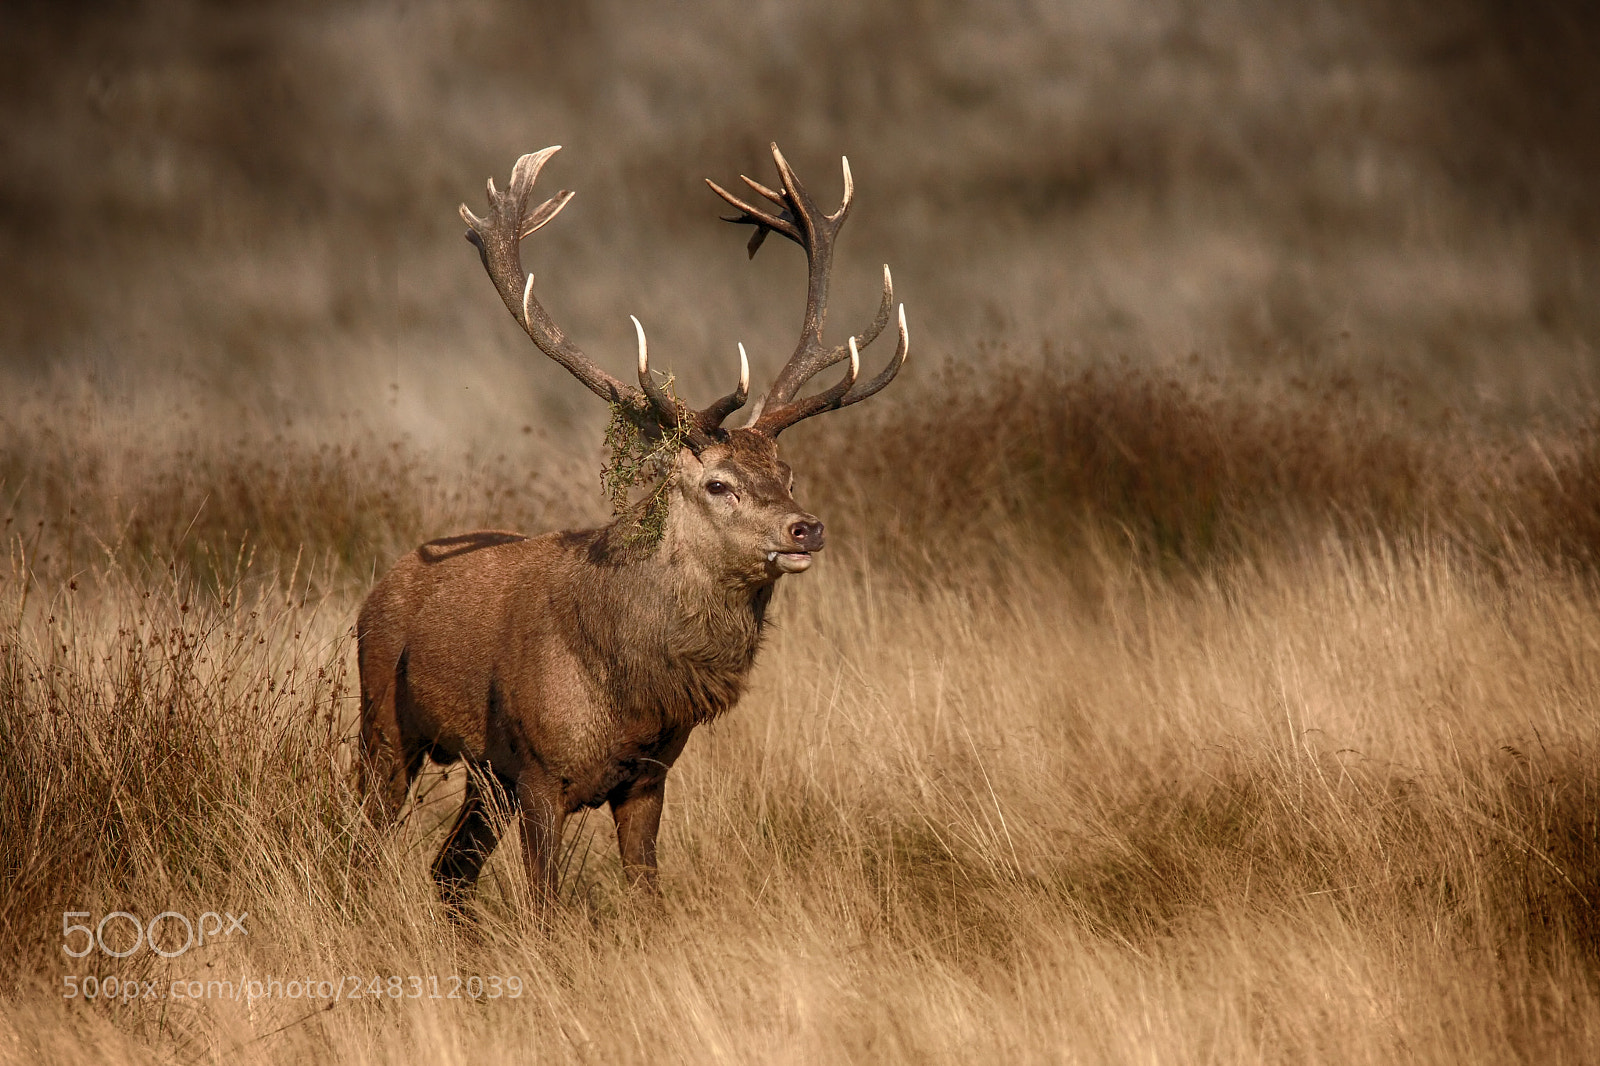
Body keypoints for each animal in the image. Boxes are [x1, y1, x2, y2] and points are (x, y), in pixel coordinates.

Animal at [356, 143, 908, 914]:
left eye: (787, 471)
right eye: (718, 484)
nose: (806, 529)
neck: (631, 692)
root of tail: (380, 588)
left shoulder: (648, 777)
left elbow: (647, 898)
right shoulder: (540, 769)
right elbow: (545, 909)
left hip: (482, 774)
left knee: (449, 870)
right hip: (384, 723)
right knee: (365, 846)